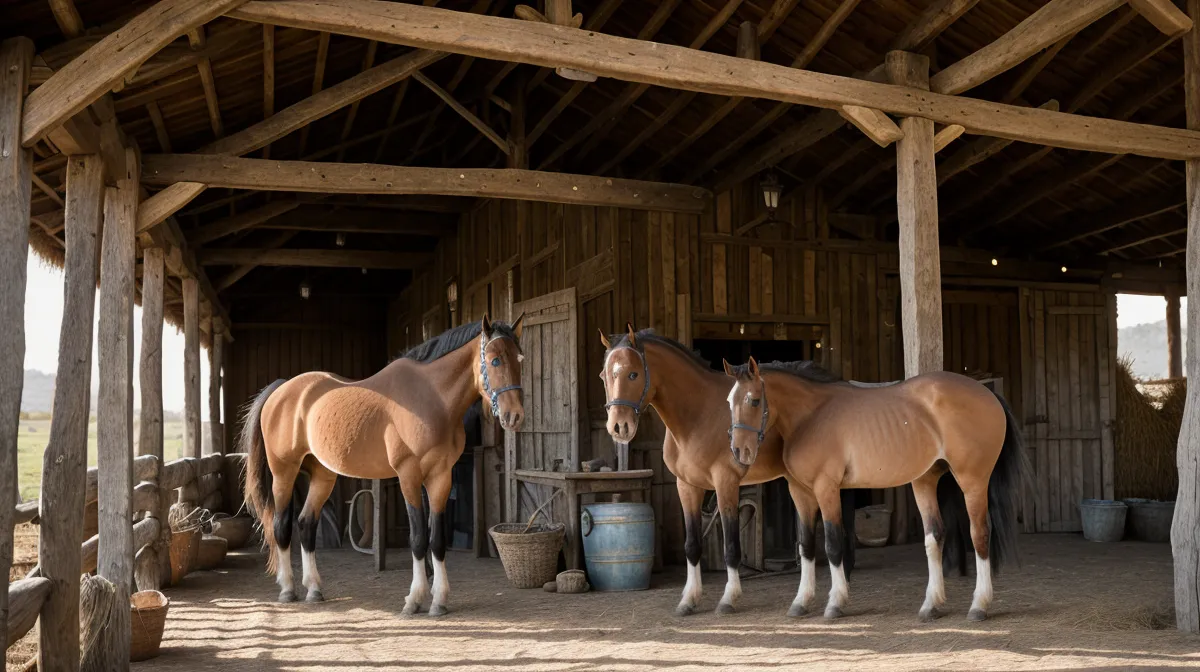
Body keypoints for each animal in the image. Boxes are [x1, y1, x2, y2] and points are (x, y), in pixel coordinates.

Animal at [241, 314, 526, 615]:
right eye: (495, 360)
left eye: (520, 358)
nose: (514, 416)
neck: (431, 398)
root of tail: (282, 389)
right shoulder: (409, 476)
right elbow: (418, 538)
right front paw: (414, 600)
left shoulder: (440, 477)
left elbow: (437, 539)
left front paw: (439, 601)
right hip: (284, 471)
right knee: (282, 526)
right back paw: (287, 589)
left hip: (322, 475)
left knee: (306, 524)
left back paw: (314, 589)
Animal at [598, 325, 854, 616]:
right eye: (604, 376)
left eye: (633, 373)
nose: (619, 427)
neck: (698, 414)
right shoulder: (686, 486)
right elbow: (692, 545)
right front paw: (689, 600)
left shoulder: (726, 483)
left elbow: (731, 545)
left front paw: (728, 598)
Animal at [724, 356, 1028, 621]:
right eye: (729, 401)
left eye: (753, 400)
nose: (739, 452)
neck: (811, 416)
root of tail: (987, 394)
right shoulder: (801, 492)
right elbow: (806, 545)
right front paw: (800, 603)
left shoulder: (827, 488)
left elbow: (833, 543)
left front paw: (835, 603)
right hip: (925, 480)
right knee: (935, 536)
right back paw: (931, 606)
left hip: (972, 481)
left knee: (980, 534)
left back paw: (979, 606)